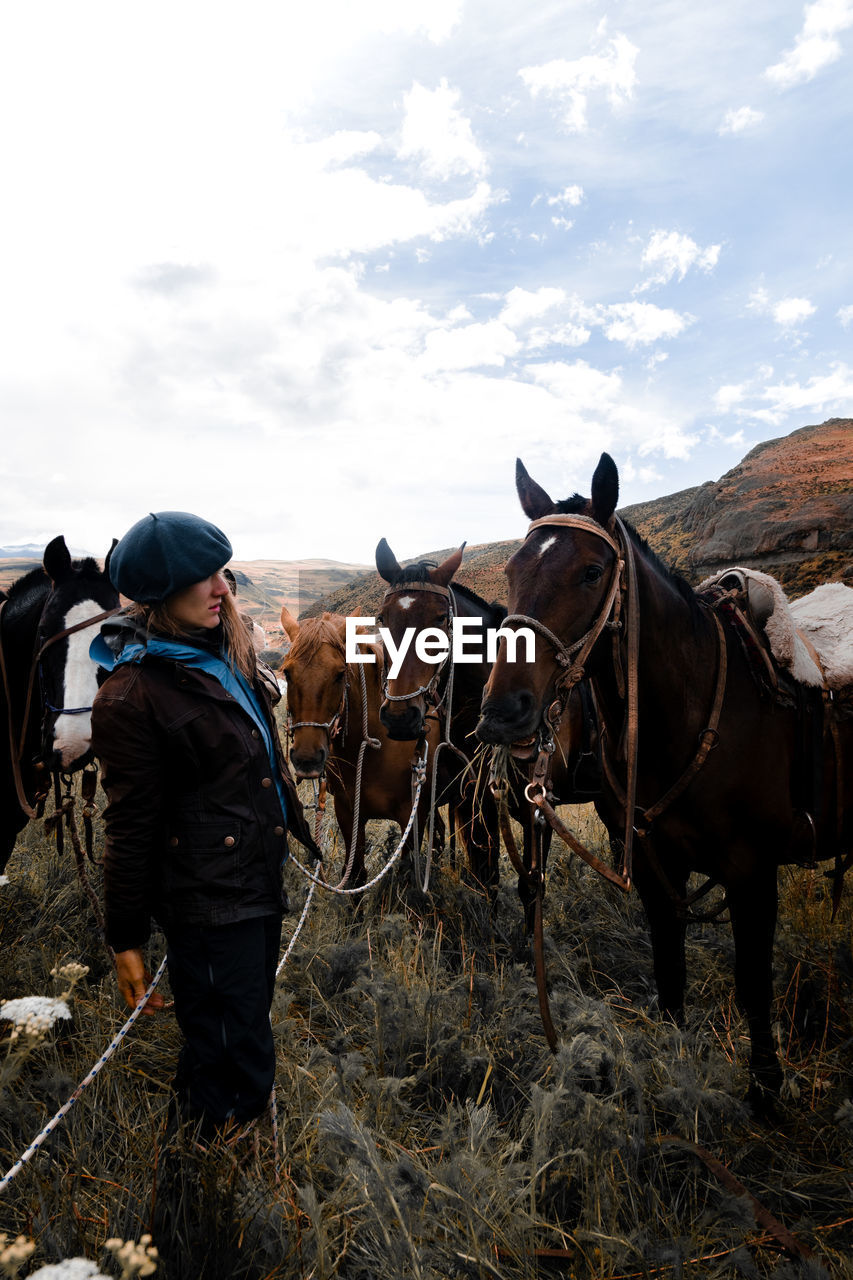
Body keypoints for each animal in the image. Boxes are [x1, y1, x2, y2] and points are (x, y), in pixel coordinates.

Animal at [279, 604, 438, 885]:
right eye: (287, 672)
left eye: (340, 674)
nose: (307, 758)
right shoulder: (348, 811)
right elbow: (354, 875)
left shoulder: (413, 815)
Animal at [473, 455, 845, 1105]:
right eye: (512, 570)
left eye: (592, 572)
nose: (502, 712)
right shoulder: (653, 868)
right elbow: (670, 974)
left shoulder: (753, 872)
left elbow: (753, 982)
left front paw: (765, 1093)